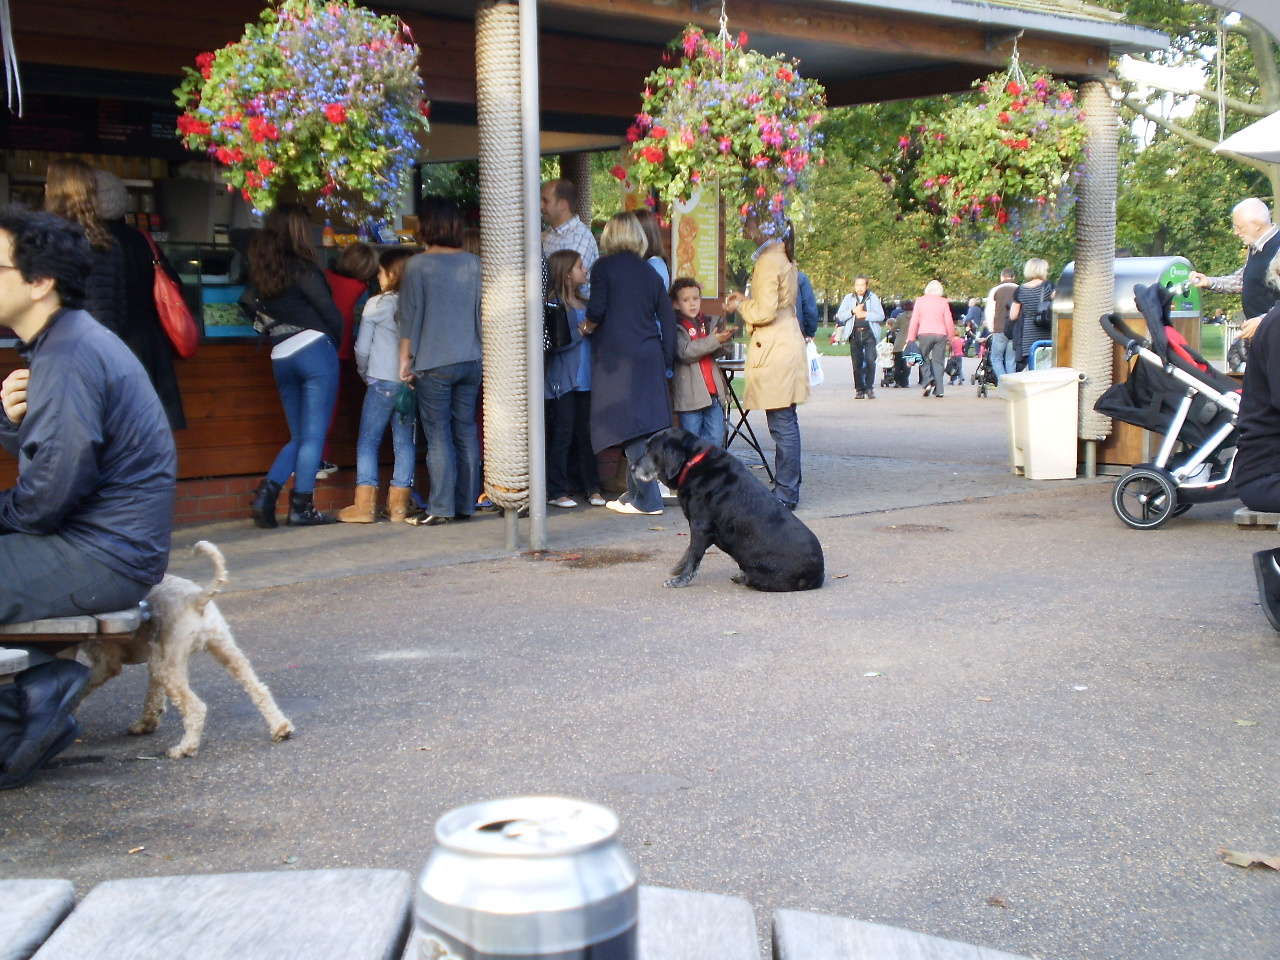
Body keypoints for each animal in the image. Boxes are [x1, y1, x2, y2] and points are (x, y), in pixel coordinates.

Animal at [82, 542, 294, 757]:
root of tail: (196, 599)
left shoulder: (107, 662)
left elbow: (84, 685)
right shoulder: (153, 657)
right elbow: (153, 697)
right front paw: (146, 723)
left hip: (167, 666)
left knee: (195, 708)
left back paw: (184, 748)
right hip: (222, 650)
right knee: (259, 689)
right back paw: (281, 728)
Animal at [632, 430, 829, 593]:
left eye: (650, 451)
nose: (632, 468)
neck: (692, 462)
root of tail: (818, 574)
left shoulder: (700, 527)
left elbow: (693, 558)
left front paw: (679, 580)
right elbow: (689, 553)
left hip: (760, 574)